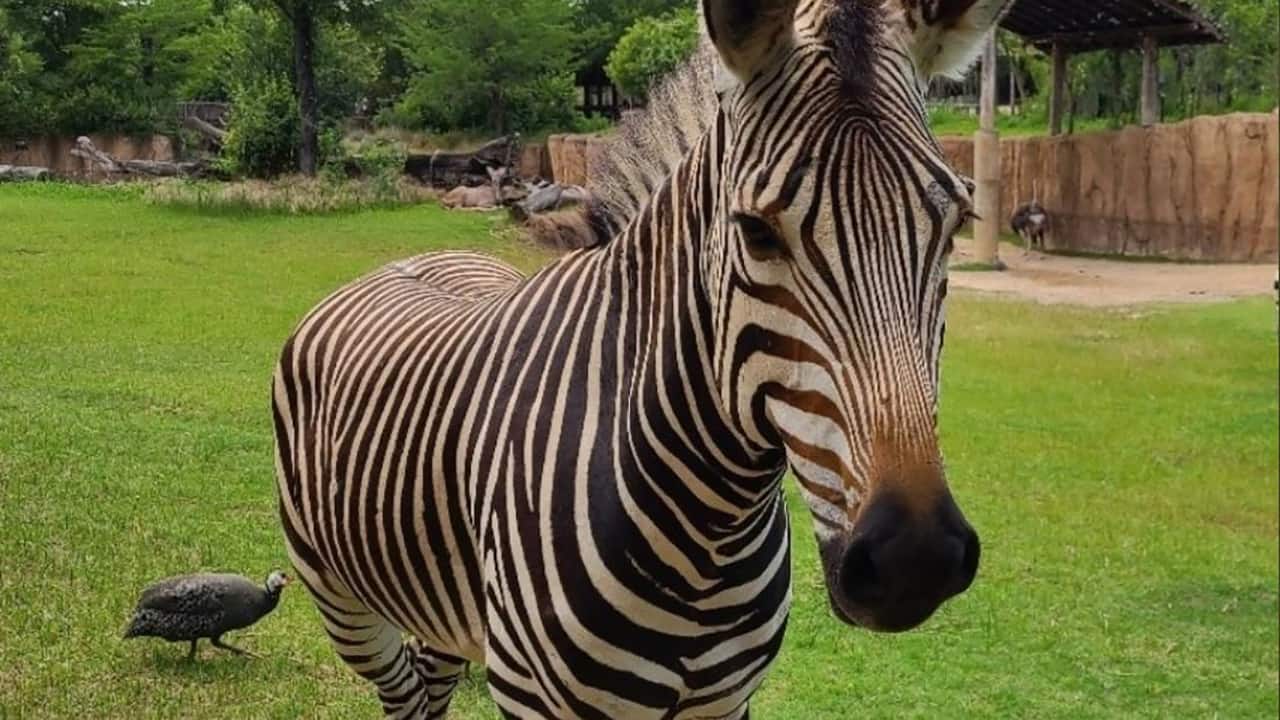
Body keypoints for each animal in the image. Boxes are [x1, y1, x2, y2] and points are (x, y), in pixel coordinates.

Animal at [273, 0, 1010, 717]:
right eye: (755, 232)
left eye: (956, 226)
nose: (915, 560)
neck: (714, 528)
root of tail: (404, 262)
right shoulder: (537, 698)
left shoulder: (725, 702)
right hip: (340, 598)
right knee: (403, 692)